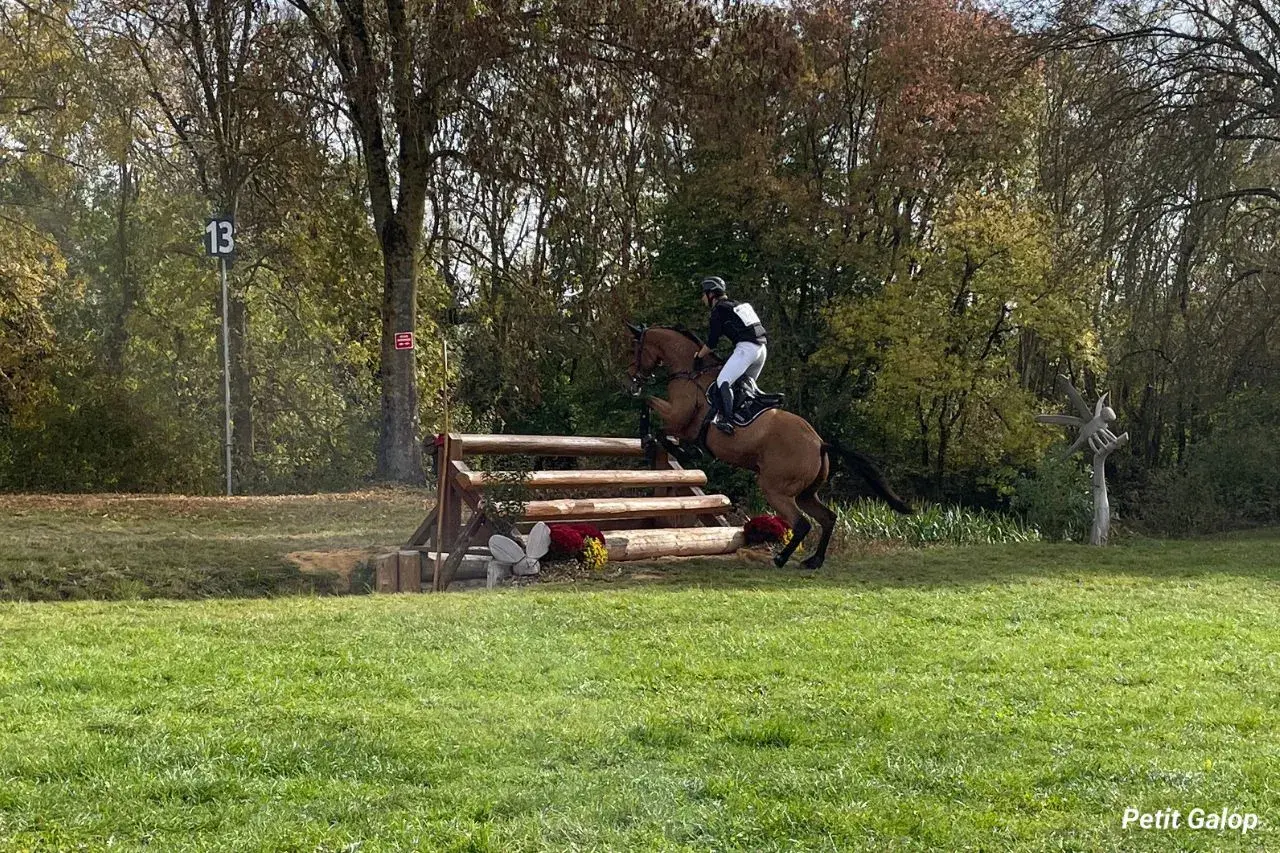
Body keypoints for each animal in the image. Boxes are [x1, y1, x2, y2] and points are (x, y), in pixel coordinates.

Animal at [626, 323, 912, 569]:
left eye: (634, 349)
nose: (632, 378)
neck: (689, 370)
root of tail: (820, 443)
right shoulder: (682, 424)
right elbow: (656, 416)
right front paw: (677, 447)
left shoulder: (679, 417)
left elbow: (649, 407)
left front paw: (653, 441)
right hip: (805, 493)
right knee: (828, 518)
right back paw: (814, 561)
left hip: (775, 489)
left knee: (802, 524)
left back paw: (781, 558)